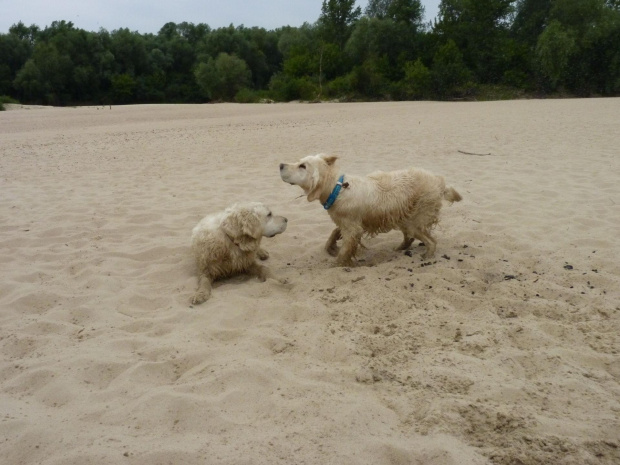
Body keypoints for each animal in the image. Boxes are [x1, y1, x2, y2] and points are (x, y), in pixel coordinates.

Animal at [280, 154, 460, 266]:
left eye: (302, 166)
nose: (281, 164)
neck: (337, 189)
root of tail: (440, 182)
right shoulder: (349, 223)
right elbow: (335, 232)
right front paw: (330, 247)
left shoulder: (352, 228)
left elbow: (344, 251)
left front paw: (337, 264)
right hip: (404, 217)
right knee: (409, 238)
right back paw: (400, 248)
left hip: (415, 220)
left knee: (431, 241)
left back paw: (427, 256)